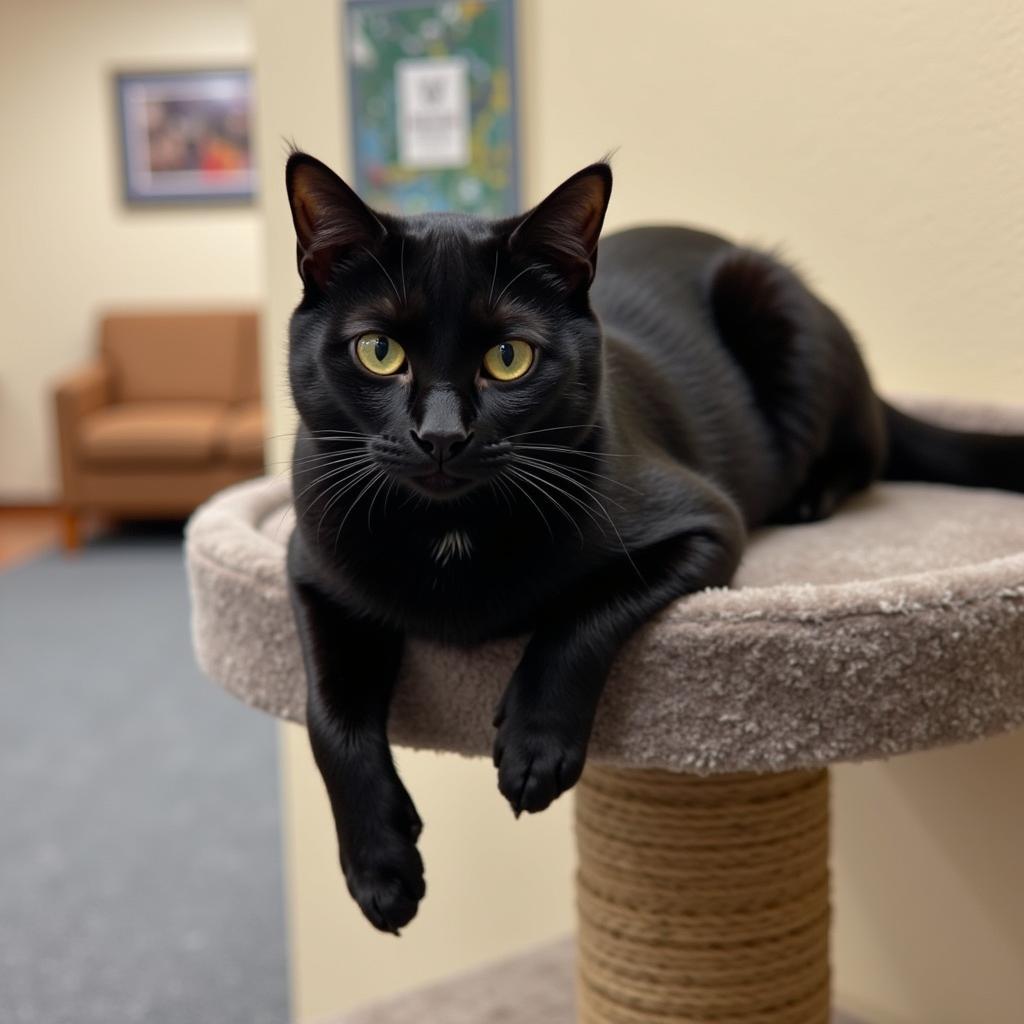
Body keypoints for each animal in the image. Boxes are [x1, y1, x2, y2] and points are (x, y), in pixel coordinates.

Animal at [282, 149, 1024, 929]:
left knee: (867, 449)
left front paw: (535, 748)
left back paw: (810, 496)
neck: (448, 532)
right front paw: (380, 870)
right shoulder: (309, 565)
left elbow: (581, 614)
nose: (442, 436)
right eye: (379, 350)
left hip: (775, 312)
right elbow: (328, 714)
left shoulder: (703, 524)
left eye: (510, 357)